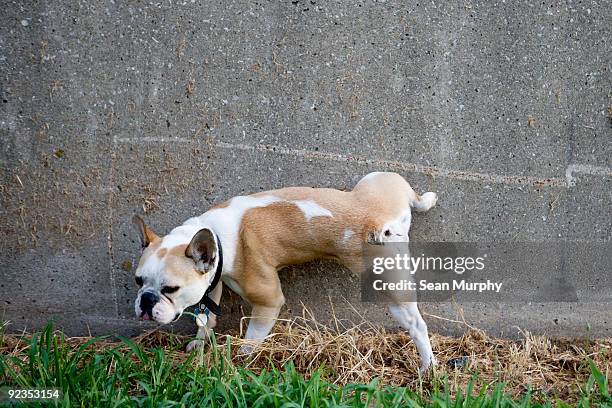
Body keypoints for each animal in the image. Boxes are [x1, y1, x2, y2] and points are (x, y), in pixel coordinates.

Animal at [131, 171, 438, 372]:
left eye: (170, 289)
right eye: (138, 280)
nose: (146, 300)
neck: (214, 236)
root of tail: (382, 219)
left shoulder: (267, 301)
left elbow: (252, 337)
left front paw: (241, 359)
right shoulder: (213, 279)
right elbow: (207, 315)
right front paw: (199, 341)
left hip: (390, 284)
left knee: (416, 325)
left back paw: (427, 366)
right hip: (378, 179)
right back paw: (427, 199)